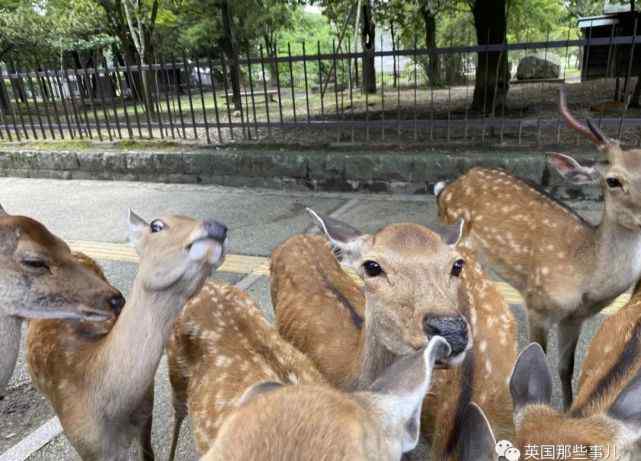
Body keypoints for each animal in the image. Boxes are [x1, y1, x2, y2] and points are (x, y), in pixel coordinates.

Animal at [432, 86, 640, 406]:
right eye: (613, 180)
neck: (585, 273)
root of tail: (445, 188)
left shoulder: (575, 318)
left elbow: (566, 368)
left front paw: (567, 409)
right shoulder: (538, 304)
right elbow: (538, 360)